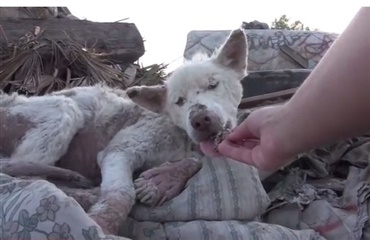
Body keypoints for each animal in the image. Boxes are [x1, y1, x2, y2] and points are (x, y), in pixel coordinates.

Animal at [0, 28, 249, 234]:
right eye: (179, 101)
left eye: (213, 85)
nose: (200, 121)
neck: (180, 135)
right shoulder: (120, 149)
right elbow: (121, 193)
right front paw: (101, 224)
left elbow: (196, 161)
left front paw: (162, 181)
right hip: (62, 111)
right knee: (27, 178)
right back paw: (88, 195)